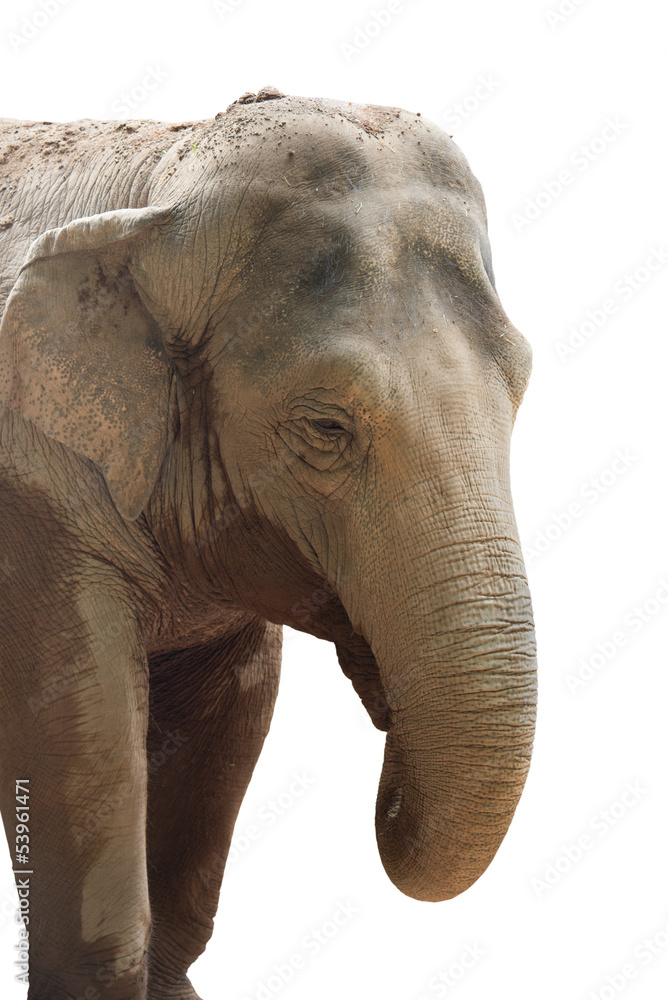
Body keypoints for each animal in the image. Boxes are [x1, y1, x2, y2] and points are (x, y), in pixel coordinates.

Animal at [0, 87, 536, 999]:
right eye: (325, 427)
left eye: (522, 386)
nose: (383, 697)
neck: (156, 180)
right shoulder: (35, 504)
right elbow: (75, 740)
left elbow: (231, 721)